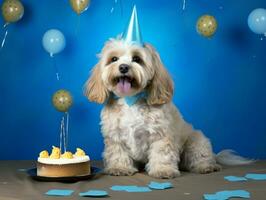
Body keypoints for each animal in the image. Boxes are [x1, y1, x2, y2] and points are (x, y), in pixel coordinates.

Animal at [84, 38, 252, 178]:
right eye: (114, 59)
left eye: (137, 59)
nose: (123, 67)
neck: (130, 100)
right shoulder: (115, 136)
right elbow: (118, 153)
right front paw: (120, 168)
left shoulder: (161, 135)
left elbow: (162, 154)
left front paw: (162, 170)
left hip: (196, 140)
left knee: (200, 157)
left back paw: (206, 166)